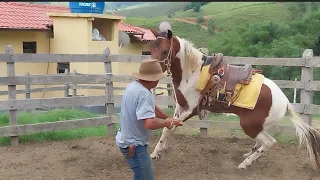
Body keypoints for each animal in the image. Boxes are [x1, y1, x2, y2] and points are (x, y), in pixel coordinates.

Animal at [149, 28, 320, 170]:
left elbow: (168, 128)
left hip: (249, 126)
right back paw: (248, 155)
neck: (193, 73)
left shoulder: (189, 109)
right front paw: (161, 150)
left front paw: (155, 153)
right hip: (259, 126)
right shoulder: (180, 107)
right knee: (261, 142)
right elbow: (170, 128)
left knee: (269, 142)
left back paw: (245, 163)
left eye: (165, 50)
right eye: (151, 49)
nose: (151, 70)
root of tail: (285, 102)